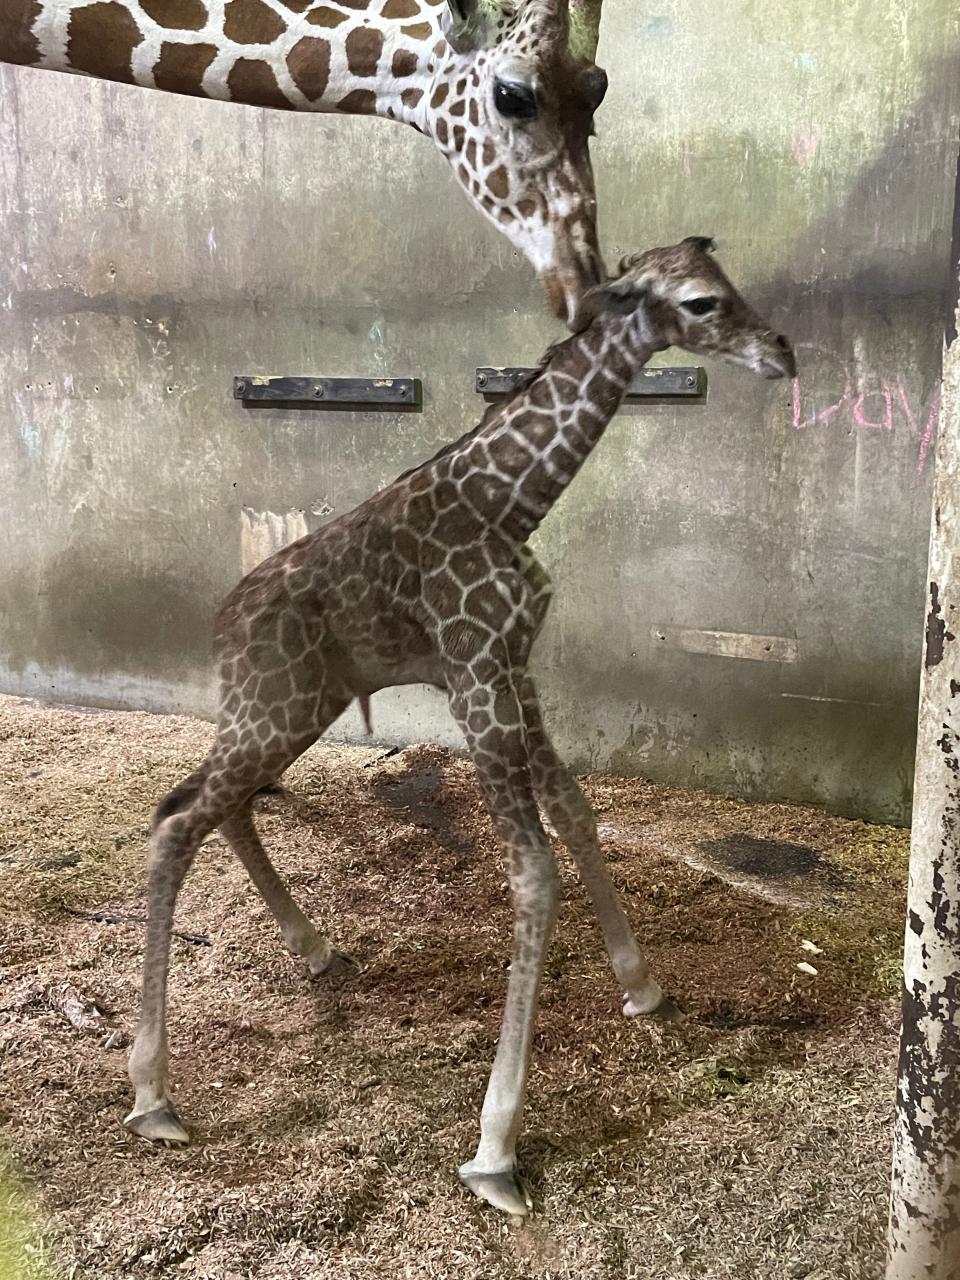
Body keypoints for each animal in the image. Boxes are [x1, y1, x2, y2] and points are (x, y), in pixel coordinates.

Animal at [128, 238, 798, 1208]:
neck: (511, 502)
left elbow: (577, 814)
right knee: (178, 816)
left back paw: (316, 950)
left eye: (729, 283)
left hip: (292, 707)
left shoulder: (515, 666)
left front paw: (642, 988)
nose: (782, 351)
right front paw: (495, 1148)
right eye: (704, 303)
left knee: (215, 803)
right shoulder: (476, 676)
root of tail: (221, 627)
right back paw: (152, 1095)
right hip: (275, 705)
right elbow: (533, 870)